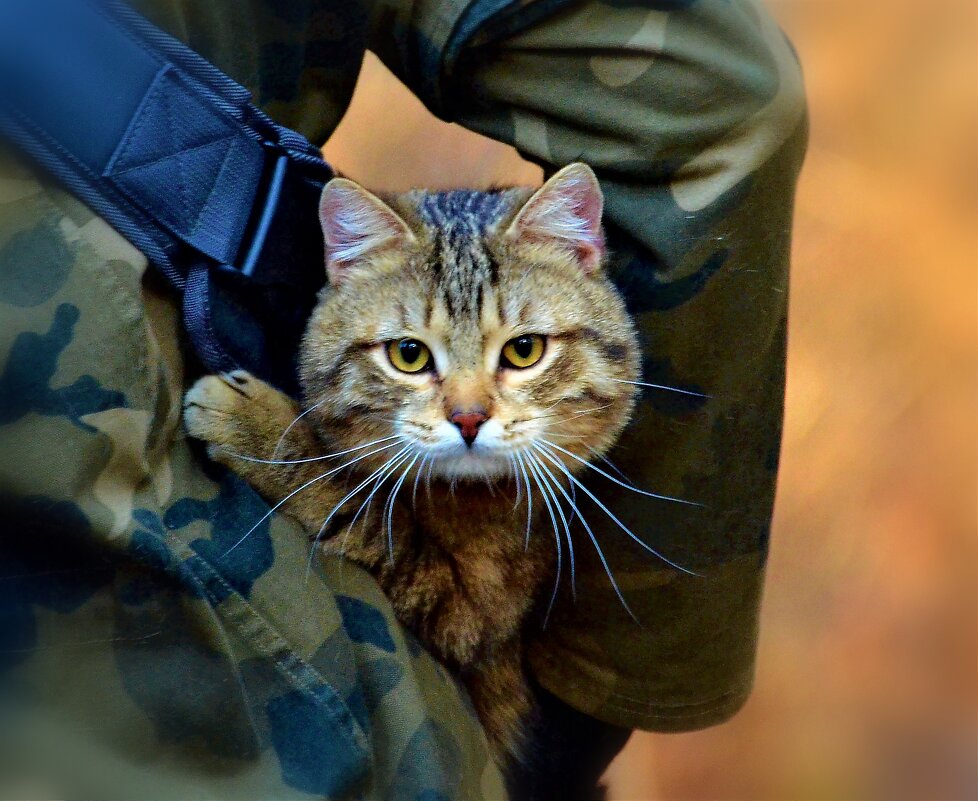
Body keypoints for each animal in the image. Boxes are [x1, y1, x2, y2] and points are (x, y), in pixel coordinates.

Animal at [182, 161, 640, 768]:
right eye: (409, 355)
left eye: (524, 351)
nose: (468, 418)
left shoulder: (466, 621)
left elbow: (361, 509)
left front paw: (254, 425)